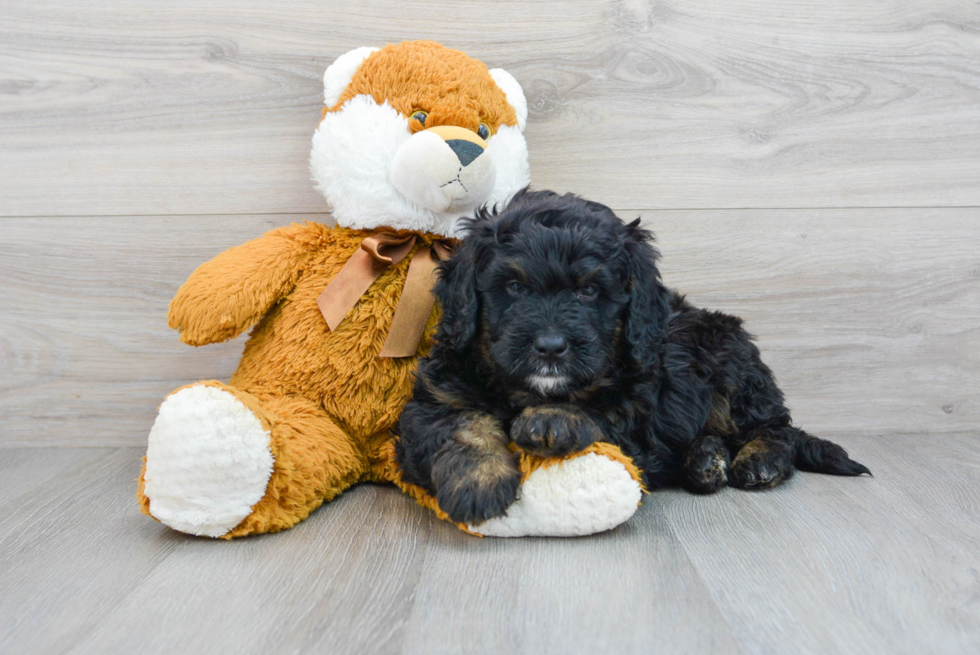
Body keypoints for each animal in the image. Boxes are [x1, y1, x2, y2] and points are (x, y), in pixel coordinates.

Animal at [394, 188, 868, 524]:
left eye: (588, 291)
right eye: (513, 287)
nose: (550, 346)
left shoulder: (639, 410)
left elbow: (604, 411)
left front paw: (554, 419)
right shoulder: (437, 396)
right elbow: (462, 424)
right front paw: (479, 484)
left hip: (728, 361)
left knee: (776, 427)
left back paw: (757, 460)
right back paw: (705, 461)